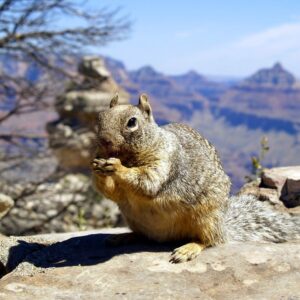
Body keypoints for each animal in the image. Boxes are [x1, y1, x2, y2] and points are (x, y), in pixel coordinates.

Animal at [91, 93, 300, 262]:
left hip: (206, 218)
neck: (130, 158)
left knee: (209, 241)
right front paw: (96, 166)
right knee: (143, 236)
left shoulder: (166, 160)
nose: (104, 141)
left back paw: (188, 249)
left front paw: (117, 167)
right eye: (99, 118)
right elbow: (113, 193)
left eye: (132, 122)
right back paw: (122, 237)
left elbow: (148, 182)